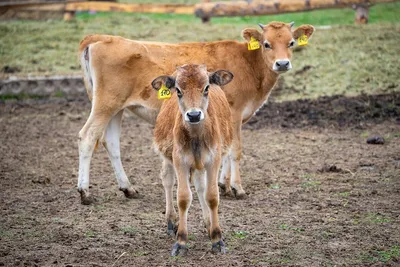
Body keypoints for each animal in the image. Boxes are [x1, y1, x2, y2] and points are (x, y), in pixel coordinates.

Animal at [77, 21, 316, 205]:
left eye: (291, 42)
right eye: (267, 44)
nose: (282, 63)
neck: (249, 64)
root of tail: (101, 38)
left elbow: (225, 150)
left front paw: (223, 184)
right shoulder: (235, 113)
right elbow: (236, 151)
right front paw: (237, 188)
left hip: (116, 108)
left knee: (111, 143)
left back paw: (128, 188)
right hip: (105, 104)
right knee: (87, 137)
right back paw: (85, 192)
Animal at [153, 63, 234, 256]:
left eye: (206, 87)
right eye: (178, 90)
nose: (194, 115)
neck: (197, 137)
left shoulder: (214, 160)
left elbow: (211, 196)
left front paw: (217, 239)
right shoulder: (179, 160)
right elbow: (183, 197)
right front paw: (181, 241)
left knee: (200, 186)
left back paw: (208, 224)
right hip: (167, 157)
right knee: (167, 180)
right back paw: (171, 222)